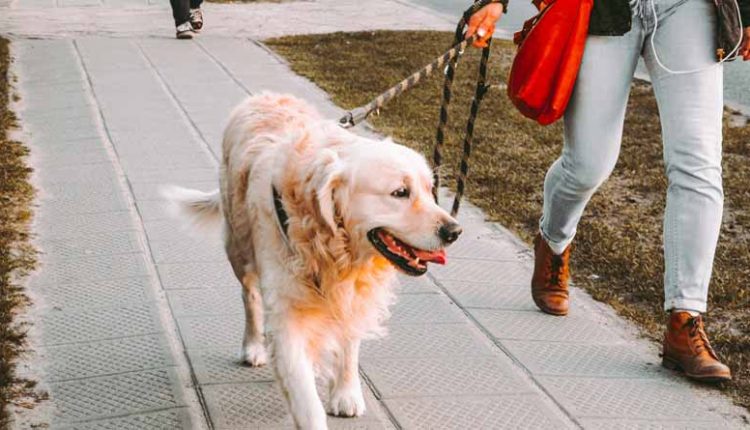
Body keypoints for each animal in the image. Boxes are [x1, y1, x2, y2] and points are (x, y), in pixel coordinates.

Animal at [163, 92, 464, 428]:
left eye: (429, 190)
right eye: (400, 192)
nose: (454, 231)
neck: (333, 246)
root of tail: (263, 96)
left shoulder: (352, 296)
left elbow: (349, 345)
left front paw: (346, 392)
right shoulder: (287, 315)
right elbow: (304, 395)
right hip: (238, 248)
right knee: (250, 296)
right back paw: (253, 346)